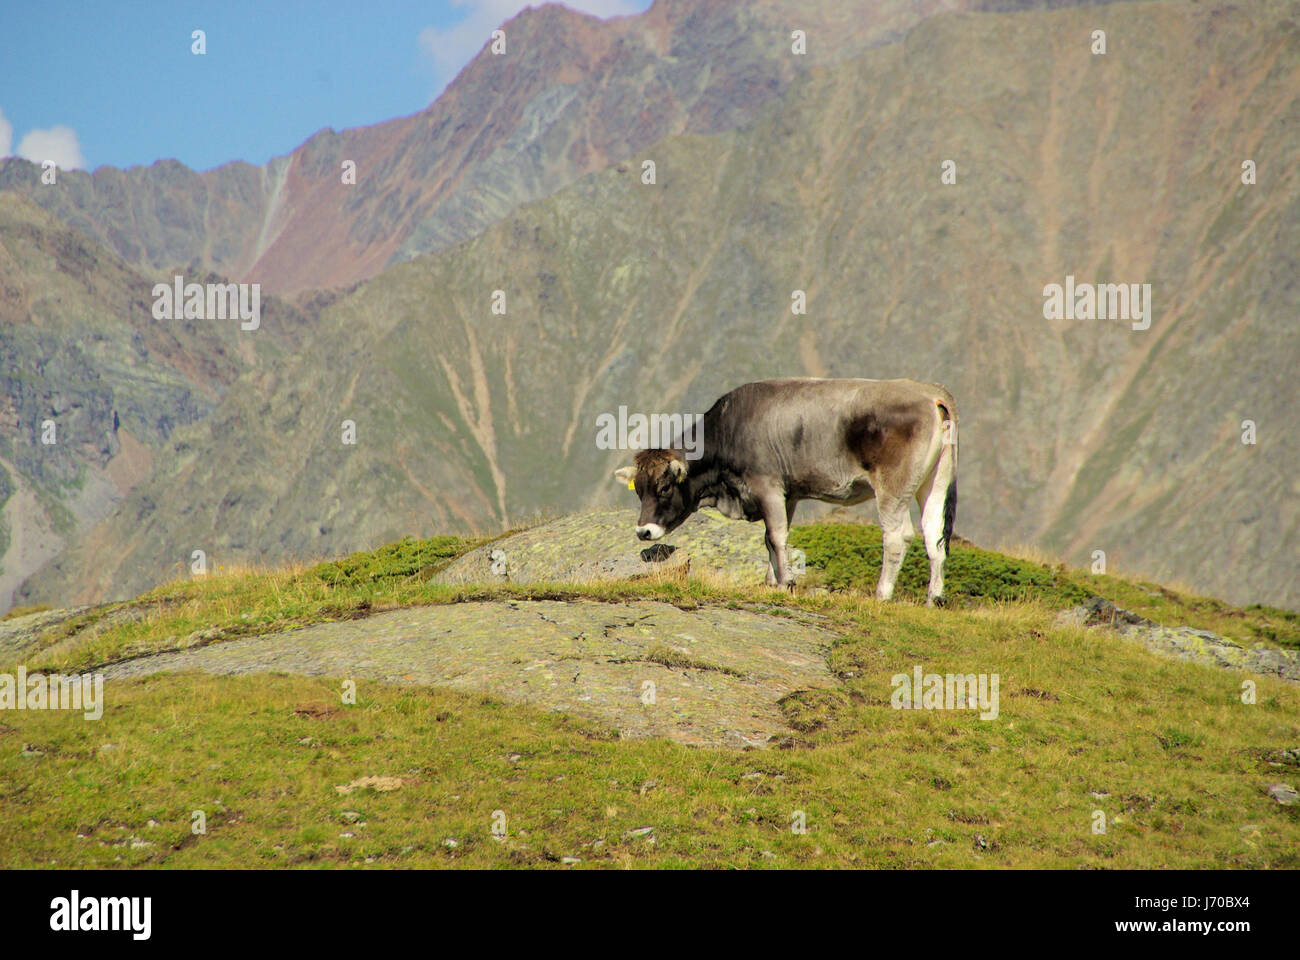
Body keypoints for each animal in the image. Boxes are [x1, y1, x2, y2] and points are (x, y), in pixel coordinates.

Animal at [613, 377, 958, 604]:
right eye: (638, 490)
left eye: (664, 487)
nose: (643, 531)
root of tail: (929, 393)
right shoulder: (787, 495)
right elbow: (771, 538)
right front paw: (772, 582)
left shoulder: (767, 486)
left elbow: (777, 536)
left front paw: (787, 583)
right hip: (934, 482)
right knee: (935, 534)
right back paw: (935, 598)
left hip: (893, 488)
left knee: (897, 536)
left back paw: (881, 594)